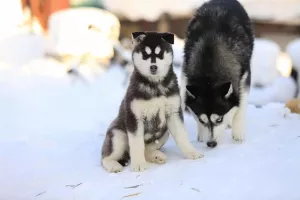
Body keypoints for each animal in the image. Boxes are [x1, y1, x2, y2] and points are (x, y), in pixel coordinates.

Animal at [102, 31, 203, 172]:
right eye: (145, 54)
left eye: (160, 54)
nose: (153, 67)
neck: (155, 86)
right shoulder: (135, 117)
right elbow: (137, 144)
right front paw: (139, 164)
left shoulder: (173, 113)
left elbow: (182, 136)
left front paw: (191, 152)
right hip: (117, 135)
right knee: (105, 157)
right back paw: (113, 165)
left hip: (164, 132)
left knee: (147, 149)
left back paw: (156, 156)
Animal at [179, 0, 254, 147]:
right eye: (202, 120)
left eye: (219, 119)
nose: (211, 143)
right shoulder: (186, 71)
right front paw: (201, 134)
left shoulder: (244, 76)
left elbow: (240, 107)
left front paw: (237, 133)